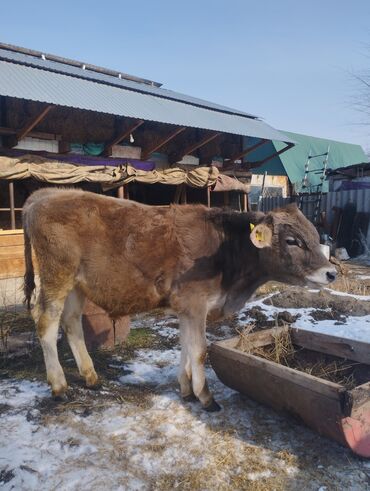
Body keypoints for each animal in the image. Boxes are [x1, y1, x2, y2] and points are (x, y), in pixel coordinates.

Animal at [21, 188, 336, 412]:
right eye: (292, 241)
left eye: (314, 235)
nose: (331, 272)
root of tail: (47, 194)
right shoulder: (195, 304)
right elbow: (199, 351)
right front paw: (206, 398)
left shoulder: (186, 309)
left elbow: (186, 348)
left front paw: (186, 391)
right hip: (56, 276)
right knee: (46, 324)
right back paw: (59, 387)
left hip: (76, 284)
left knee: (71, 323)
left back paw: (91, 377)